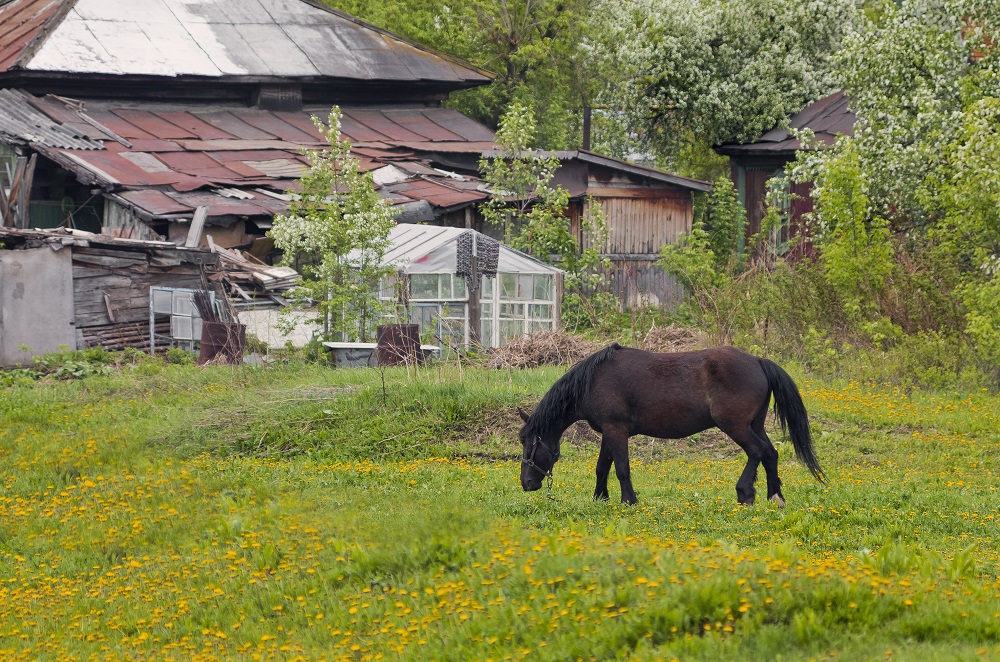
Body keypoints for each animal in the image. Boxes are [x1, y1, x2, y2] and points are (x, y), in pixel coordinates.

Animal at [520, 344, 824, 506]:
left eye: (530, 444)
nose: (526, 483)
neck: (594, 380)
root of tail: (758, 361)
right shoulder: (609, 431)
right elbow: (602, 467)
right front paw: (600, 498)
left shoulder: (617, 431)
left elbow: (621, 468)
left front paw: (628, 500)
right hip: (755, 424)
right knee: (770, 453)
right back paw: (775, 497)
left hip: (735, 425)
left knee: (757, 452)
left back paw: (745, 492)